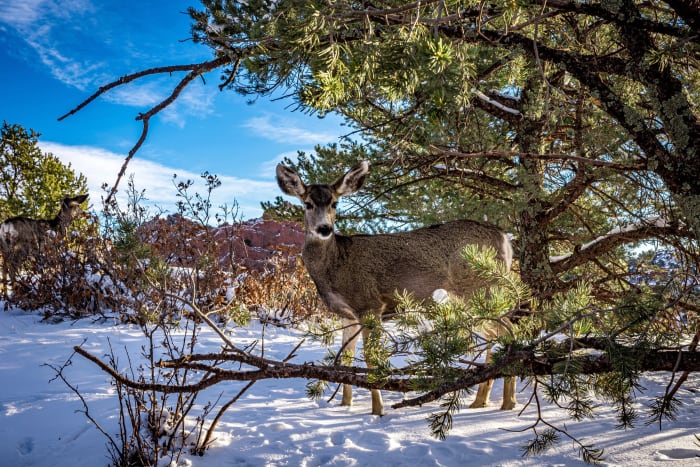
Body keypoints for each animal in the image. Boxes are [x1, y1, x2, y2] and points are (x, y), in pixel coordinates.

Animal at [276, 161, 516, 416]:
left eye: (334, 203)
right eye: (308, 204)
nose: (324, 229)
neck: (336, 264)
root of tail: (505, 238)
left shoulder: (370, 304)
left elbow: (371, 357)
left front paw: (378, 409)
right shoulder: (347, 314)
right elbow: (346, 357)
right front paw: (345, 404)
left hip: (482, 288)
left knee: (510, 330)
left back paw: (509, 402)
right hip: (470, 298)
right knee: (493, 336)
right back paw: (481, 400)